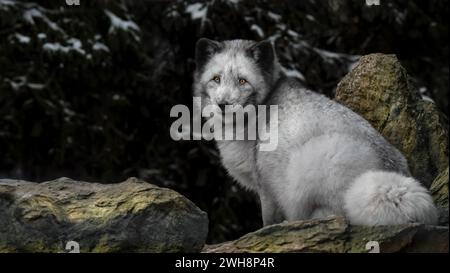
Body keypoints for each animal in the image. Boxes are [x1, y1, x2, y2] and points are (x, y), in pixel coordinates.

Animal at [192, 37, 438, 225]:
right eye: (216, 79)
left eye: (243, 81)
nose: (223, 104)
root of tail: (394, 171)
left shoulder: (266, 183)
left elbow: (267, 220)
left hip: (316, 155)